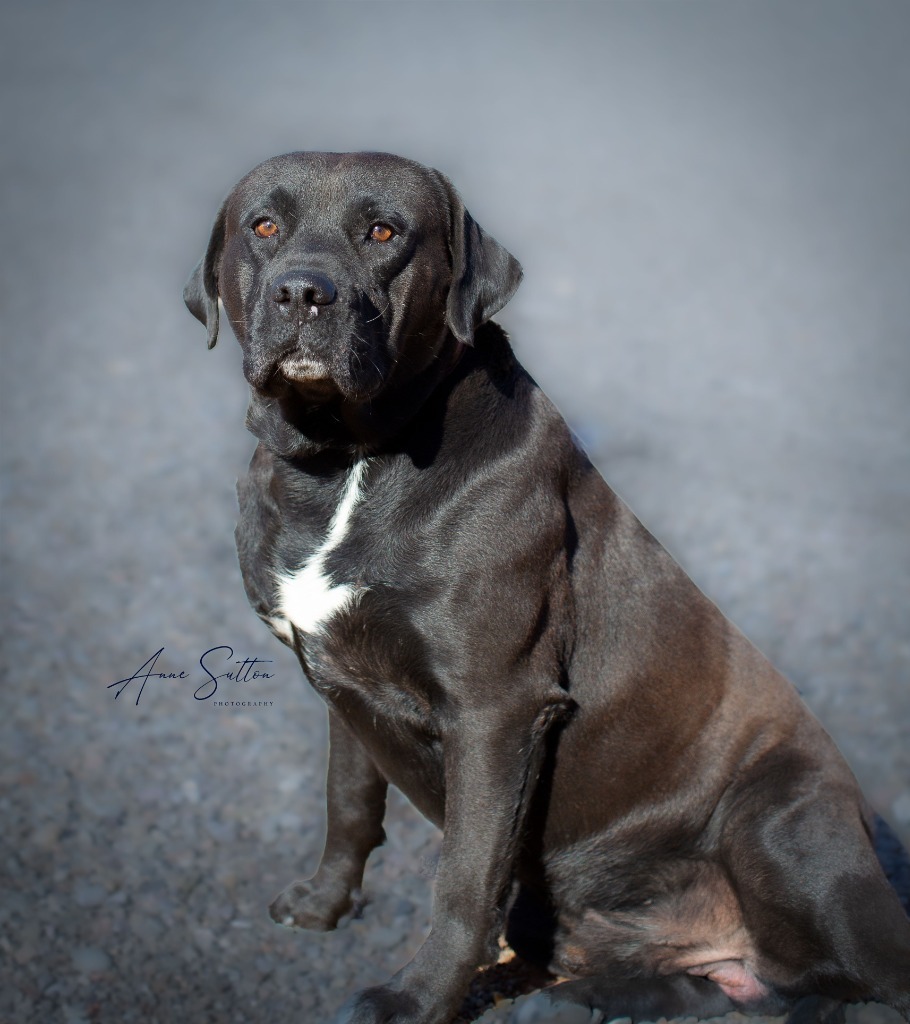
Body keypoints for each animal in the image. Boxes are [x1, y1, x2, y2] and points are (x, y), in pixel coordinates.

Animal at [186, 151, 908, 1024]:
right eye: (264, 226)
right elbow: (348, 805)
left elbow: (464, 881)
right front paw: (323, 906)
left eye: (384, 232)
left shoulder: (495, 711)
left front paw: (415, 999)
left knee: (853, 990)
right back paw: (588, 996)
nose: (303, 291)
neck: (345, 462)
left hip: (781, 821)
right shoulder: (344, 686)